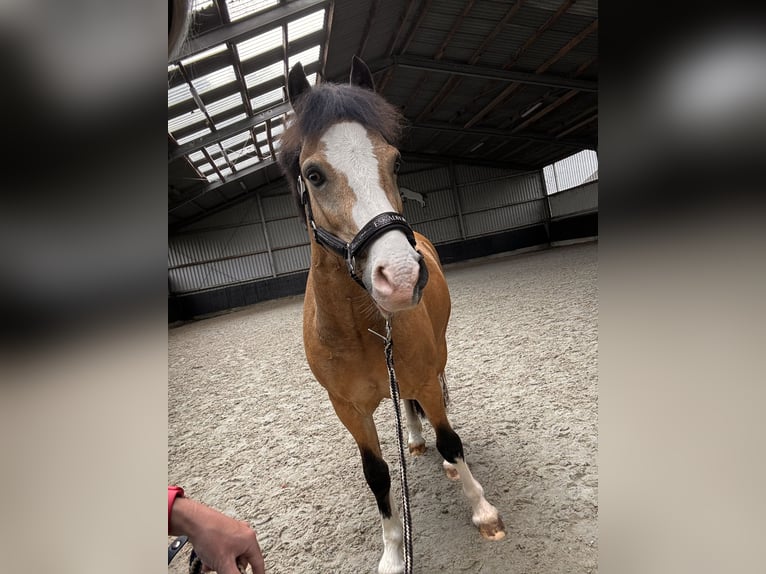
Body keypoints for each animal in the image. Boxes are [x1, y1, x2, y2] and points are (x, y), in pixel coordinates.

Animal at [280, 55, 508, 574]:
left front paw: (483, 511)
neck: (360, 327)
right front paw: (391, 552)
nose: (402, 277)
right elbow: (378, 475)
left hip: (436, 360)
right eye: (314, 174)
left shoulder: (424, 376)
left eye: (396, 161)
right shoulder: (348, 409)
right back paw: (416, 439)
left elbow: (452, 441)